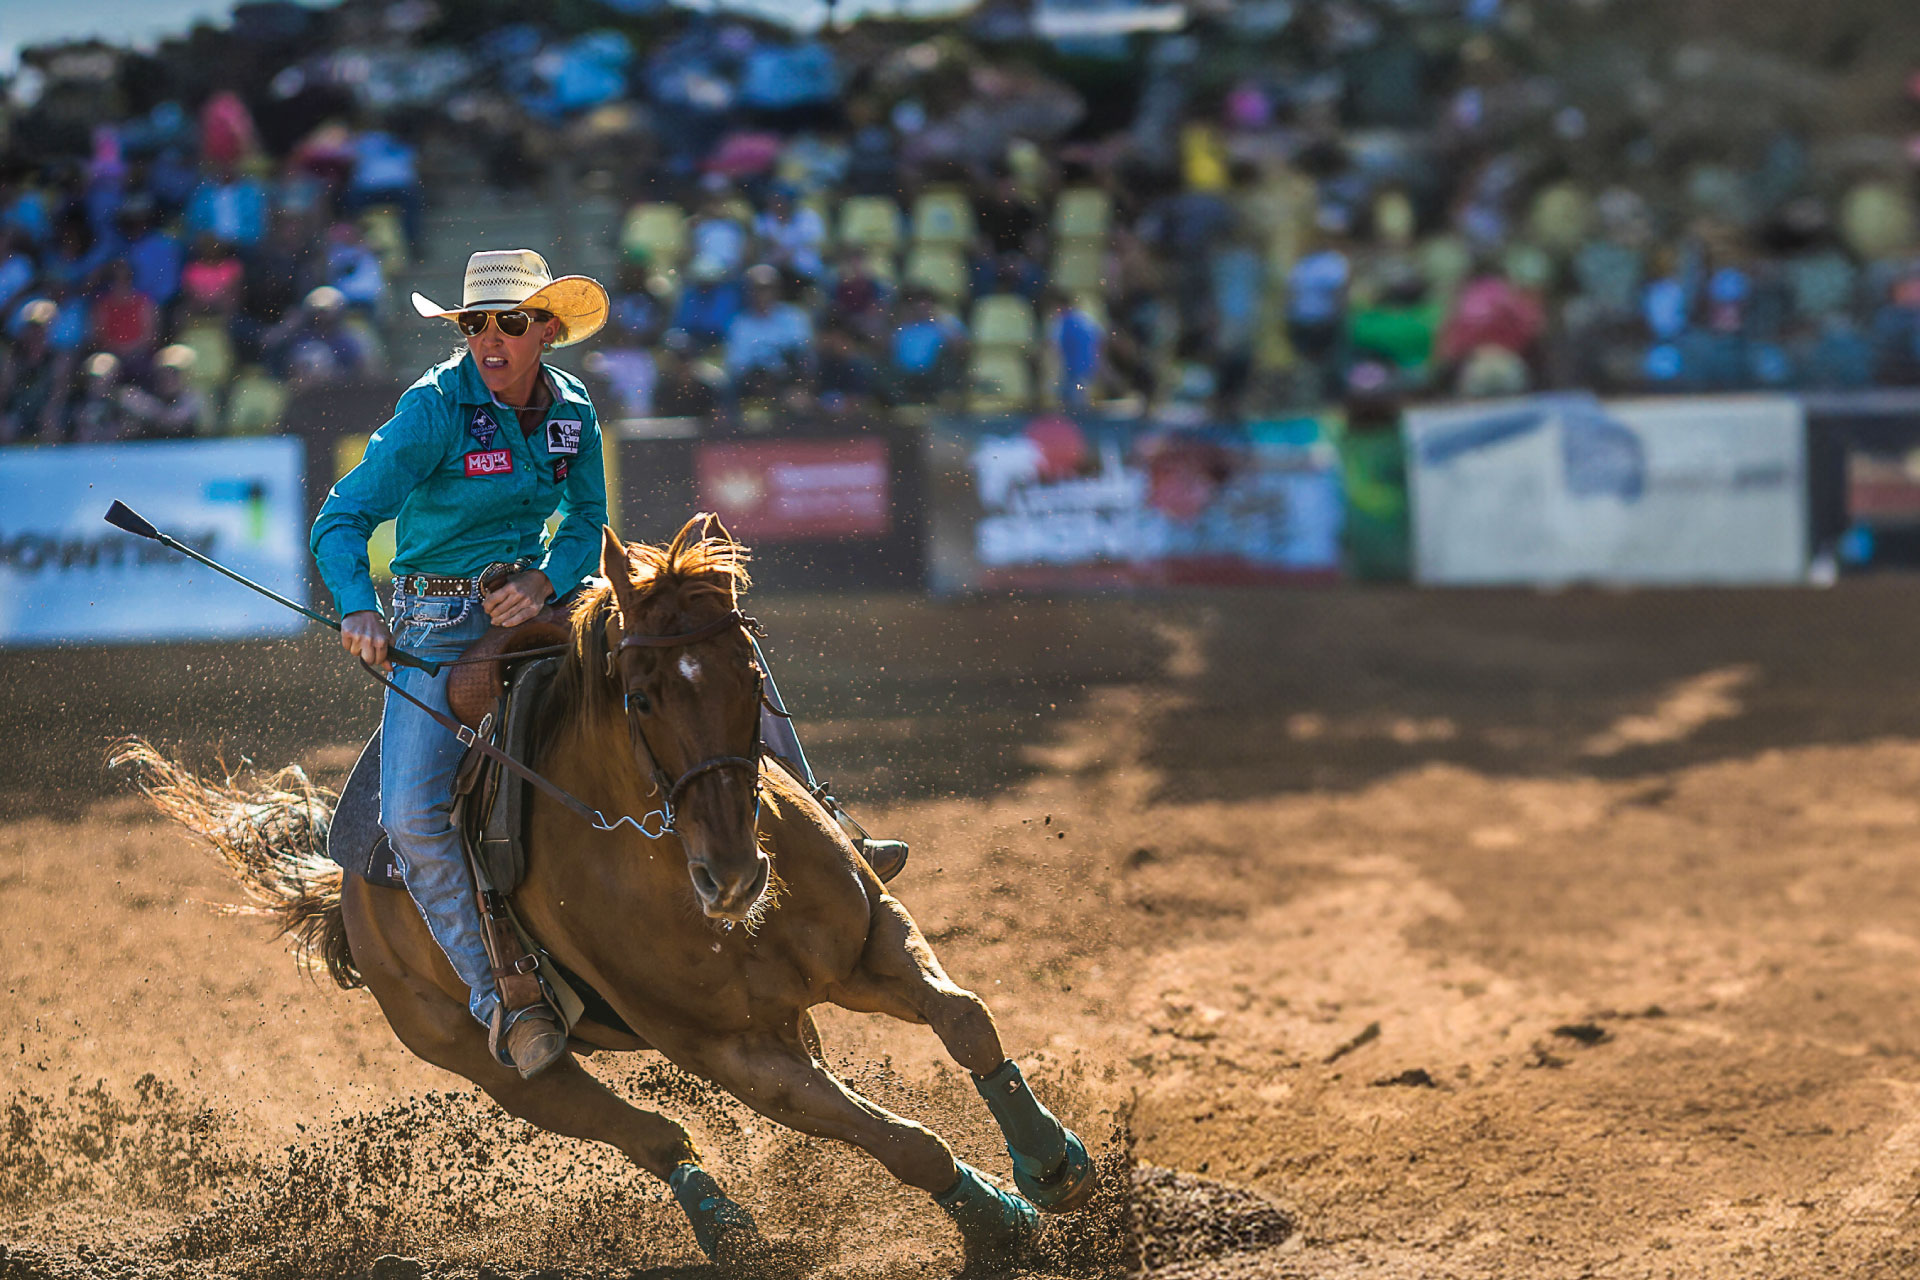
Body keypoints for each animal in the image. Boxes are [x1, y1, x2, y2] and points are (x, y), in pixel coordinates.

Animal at [123, 514, 1098, 1274]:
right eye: (639, 697)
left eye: (752, 674)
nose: (735, 875)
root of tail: (350, 891)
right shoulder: (729, 1054)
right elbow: (904, 1142)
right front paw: (1001, 1223)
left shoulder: (868, 941)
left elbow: (967, 1019)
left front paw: (1049, 1166)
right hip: (498, 1068)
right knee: (651, 1134)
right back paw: (730, 1233)